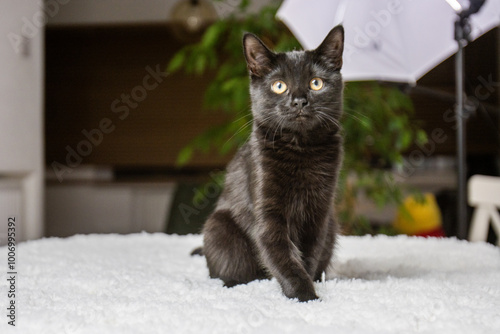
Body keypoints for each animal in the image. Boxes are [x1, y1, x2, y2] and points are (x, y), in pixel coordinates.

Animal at [199, 26, 344, 302]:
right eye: (279, 86)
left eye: (316, 83)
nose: (299, 101)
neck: (300, 149)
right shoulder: (267, 210)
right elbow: (281, 254)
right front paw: (305, 296)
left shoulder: (319, 213)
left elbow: (308, 254)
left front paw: (309, 290)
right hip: (217, 226)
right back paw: (233, 282)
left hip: (332, 224)